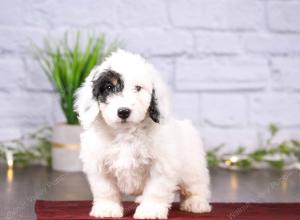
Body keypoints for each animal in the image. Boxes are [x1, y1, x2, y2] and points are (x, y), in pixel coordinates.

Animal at [75, 50, 211, 220]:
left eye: (138, 88)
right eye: (109, 87)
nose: (124, 112)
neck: (126, 133)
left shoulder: (161, 165)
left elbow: (155, 190)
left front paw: (150, 211)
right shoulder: (99, 163)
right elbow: (105, 189)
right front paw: (107, 209)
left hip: (193, 167)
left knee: (196, 186)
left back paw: (196, 203)